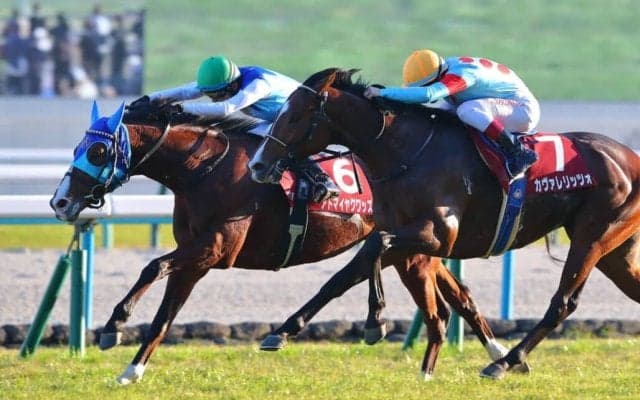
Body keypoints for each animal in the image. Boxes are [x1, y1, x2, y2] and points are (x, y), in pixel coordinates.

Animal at [49, 101, 511, 384]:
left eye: (96, 151)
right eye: (75, 147)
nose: (60, 202)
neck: (202, 169)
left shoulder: (214, 250)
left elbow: (154, 268)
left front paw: (115, 327)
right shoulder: (196, 259)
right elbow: (164, 310)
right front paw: (130, 367)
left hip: (411, 252)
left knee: (445, 305)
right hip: (414, 251)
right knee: (460, 296)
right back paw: (498, 353)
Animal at [248, 67, 640, 380]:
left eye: (295, 116)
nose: (257, 164)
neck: (407, 153)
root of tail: (631, 158)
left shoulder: (436, 236)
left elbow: (376, 247)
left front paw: (376, 322)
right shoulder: (404, 235)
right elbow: (344, 274)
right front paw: (283, 331)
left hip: (593, 236)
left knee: (563, 302)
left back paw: (504, 362)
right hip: (614, 251)